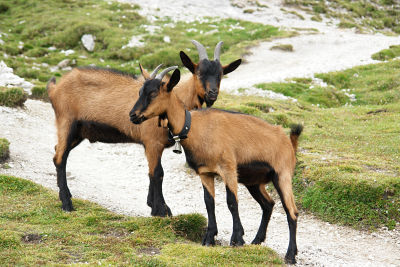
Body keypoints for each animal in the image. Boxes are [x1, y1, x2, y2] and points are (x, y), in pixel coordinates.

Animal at [47, 40, 241, 218]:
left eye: (220, 74)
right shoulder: (152, 142)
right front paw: (160, 210)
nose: (212, 93)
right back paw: (67, 203)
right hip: (66, 122)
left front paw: (153, 205)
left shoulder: (152, 145)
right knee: (60, 157)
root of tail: (55, 88)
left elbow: (152, 173)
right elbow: (157, 173)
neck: (178, 99)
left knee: (59, 152)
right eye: (198, 72)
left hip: (78, 132)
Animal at [130, 68, 304, 264]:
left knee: (292, 212)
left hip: (282, 175)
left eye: (153, 93)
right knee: (268, 204)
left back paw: (290, 255)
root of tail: (289, 143)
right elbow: (209, 202)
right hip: (254, 182)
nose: (133, 115)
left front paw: (237, 239)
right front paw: (209, 238)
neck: (194, 127)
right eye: (140, 91)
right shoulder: (205, 173)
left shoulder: (229, 169)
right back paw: (257, 241)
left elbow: (232, 202)